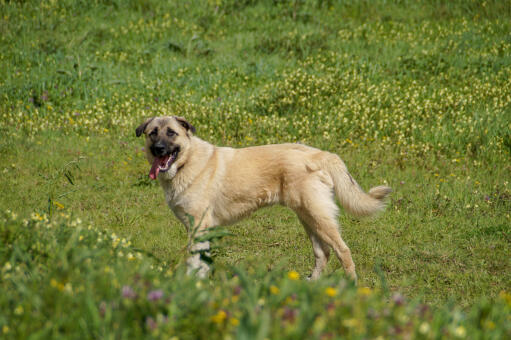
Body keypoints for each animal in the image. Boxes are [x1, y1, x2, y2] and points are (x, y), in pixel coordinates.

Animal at [136, 115, 392, 280]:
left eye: (171, 133)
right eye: (152, 133)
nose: (159, 149)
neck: (186, 162)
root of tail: (321, 154)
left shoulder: (199, 226)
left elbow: (193, 261)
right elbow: (201, 262)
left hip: (318, 216)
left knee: (342, 251)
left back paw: (351, 287)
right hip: (308, 218)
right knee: (323, 253)